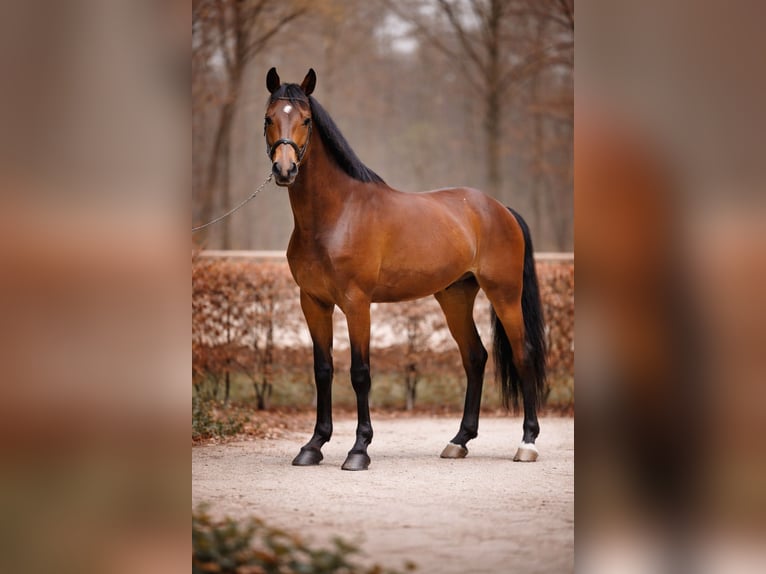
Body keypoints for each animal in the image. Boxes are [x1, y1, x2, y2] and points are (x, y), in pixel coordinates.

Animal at [264, 67, 546, 470]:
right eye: (269, 118)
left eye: (305, 120)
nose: (285, 169)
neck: (336, 215)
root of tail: (500, 209)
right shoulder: (314, 303)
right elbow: (323, 370)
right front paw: (313, 445)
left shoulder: (357, 304)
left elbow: (360, 373)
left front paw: (359, 449)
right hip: (455, 296)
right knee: (475, 357)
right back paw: (459, 440)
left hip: (505, 296)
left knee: (523, 355)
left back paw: (527, 442)